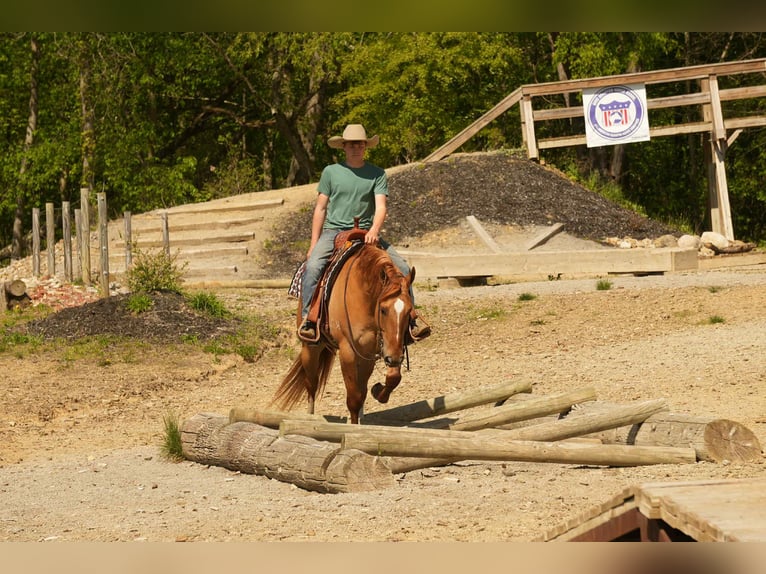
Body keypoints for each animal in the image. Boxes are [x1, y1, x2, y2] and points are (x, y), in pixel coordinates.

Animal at [272, 242, 415, 424]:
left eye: (409, 311)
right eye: (383, 310)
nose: (394, 358)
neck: (363, 295)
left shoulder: (371, 351)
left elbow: (384, 382)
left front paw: (377, 391)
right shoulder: (348, 351)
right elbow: (354, 398)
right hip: (310, 348)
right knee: (311, 384)